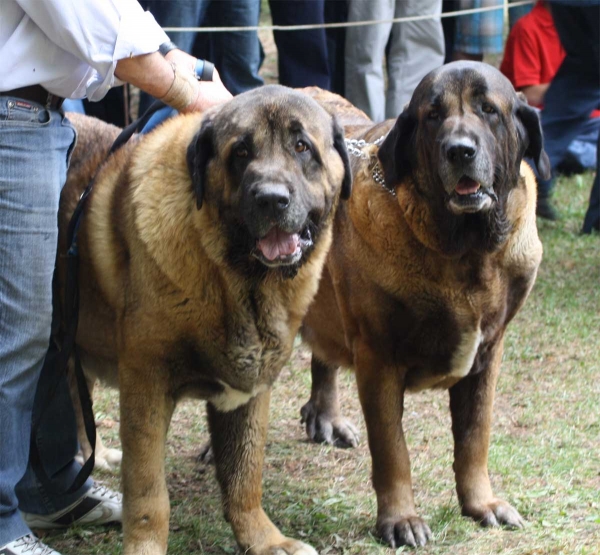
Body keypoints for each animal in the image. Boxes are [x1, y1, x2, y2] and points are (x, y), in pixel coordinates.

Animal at [58, 83, 350, 555]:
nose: (271, 198)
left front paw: (264, 540)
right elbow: (148, 492)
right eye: (241, 152)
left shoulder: (249, 390)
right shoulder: (147, 384)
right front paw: (145, 546)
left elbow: (244, 475)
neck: (241, 283)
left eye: (302, 146)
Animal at [302, 63, 552, 548]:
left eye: (488, 110)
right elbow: (392, 450)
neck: (467, 253)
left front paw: (481, 504)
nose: (460, 150)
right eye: (433, 115)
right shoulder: (379, 360)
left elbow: (474, 438)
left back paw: (325, 417)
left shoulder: (487, 354)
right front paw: (400, 520)